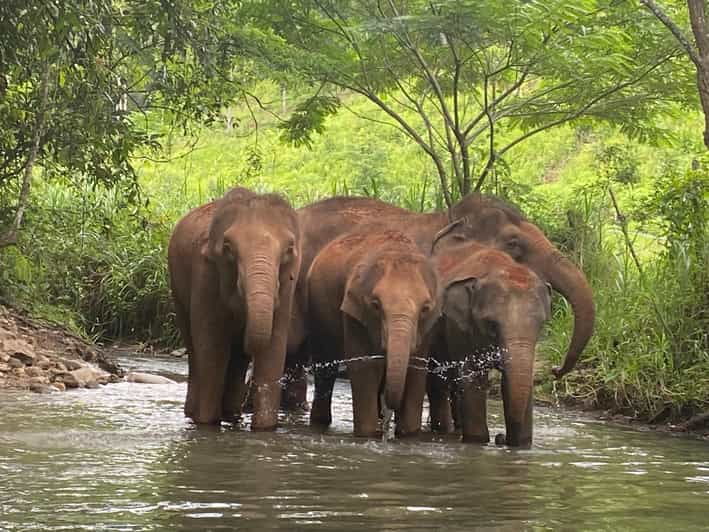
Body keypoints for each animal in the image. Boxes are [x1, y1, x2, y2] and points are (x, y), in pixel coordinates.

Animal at [167, 187, 301, 429]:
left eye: (289, 249)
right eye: (228, 248)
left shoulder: (288, 285)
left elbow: (274, 347)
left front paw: (265, 429)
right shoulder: (206, 274)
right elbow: (212, 344)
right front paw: (206, 423)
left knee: (237, 360)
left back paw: (231, 415)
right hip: (177, 289)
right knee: (194, 348)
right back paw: (194, 413)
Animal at [305, 228, 441, 437]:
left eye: (425, 309)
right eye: (376, 305)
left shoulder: (427, 328)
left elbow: (416, 370)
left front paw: (408, 434)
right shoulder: (354, 313)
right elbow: (365, 368)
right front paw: (368, 434)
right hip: (318, 311)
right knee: (325, 368)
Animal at [427, 241, 551, 447]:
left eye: (541, 324)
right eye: (491, 324)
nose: (500, 437)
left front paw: (522, 444)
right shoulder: (459, 326)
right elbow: (473, 378)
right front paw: (478, 441)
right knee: (438, 384)